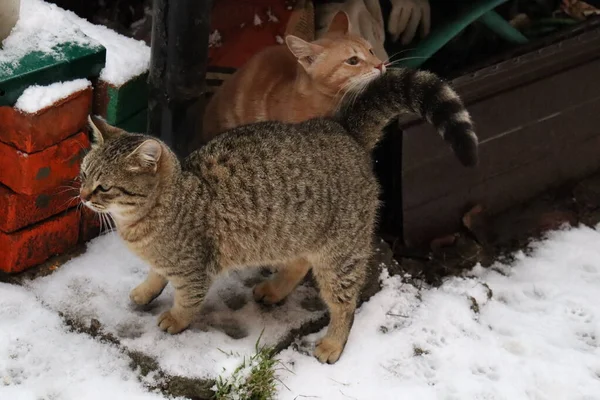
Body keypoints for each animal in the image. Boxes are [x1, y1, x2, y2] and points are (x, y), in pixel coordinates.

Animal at [79, 67, 478, 364]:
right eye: (83, 174)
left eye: (104, 187)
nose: (81, 196)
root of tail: (341, 129)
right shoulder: (168, 259)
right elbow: (155, 274)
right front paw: (146, 290)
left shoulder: (194, 268)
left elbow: (188, 299)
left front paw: (175, 319)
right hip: (294, 232)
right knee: (299, 262)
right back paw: (274, 289)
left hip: (340, 255)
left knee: (345, 305)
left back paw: (333, 343)